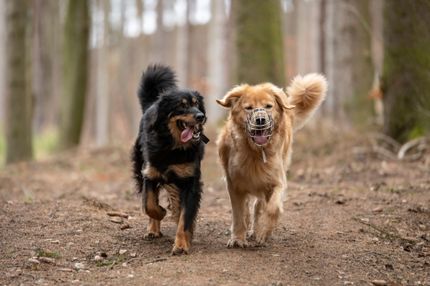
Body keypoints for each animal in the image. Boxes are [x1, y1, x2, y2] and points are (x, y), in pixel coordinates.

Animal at [132, 65, 209, 255]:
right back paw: (153, 229)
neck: (173, 147)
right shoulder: (150, 172)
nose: (201, 116)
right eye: (182, 106)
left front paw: (181, 244)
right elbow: (149, 204)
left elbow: (185, 217)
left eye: (197, 104)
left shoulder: (191, 181)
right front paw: (160, 213)